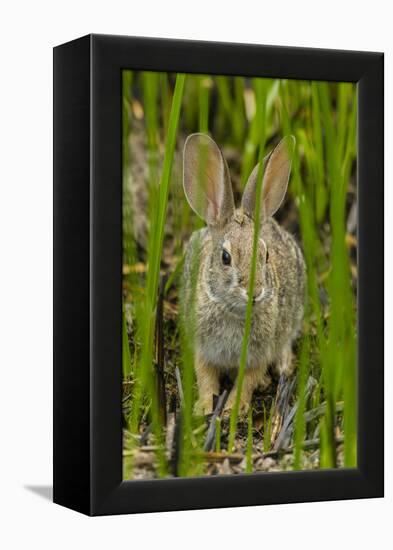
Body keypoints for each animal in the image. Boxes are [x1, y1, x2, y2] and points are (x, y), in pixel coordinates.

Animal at [181, 134, 306, 416]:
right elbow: (205, 377)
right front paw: (204, 408)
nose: (255, 292)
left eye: (266, 255)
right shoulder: (203, 348)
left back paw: (282, 366)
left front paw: (233, 410)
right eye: (226, 258)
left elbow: (247, 380)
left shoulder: (258, 353)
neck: (233, 310)